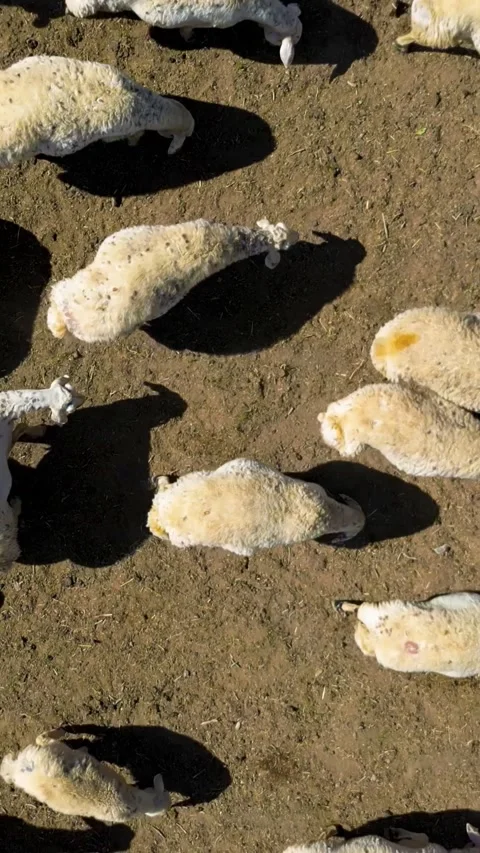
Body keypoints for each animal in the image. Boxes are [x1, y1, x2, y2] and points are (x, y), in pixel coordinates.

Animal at [0, 377, 84, 570]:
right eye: (70, 403)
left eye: (72, 388)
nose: (84, 399)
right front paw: (39, 431)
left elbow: (20, 428)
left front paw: (36, 430)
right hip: (6, 536)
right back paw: (17, 504)